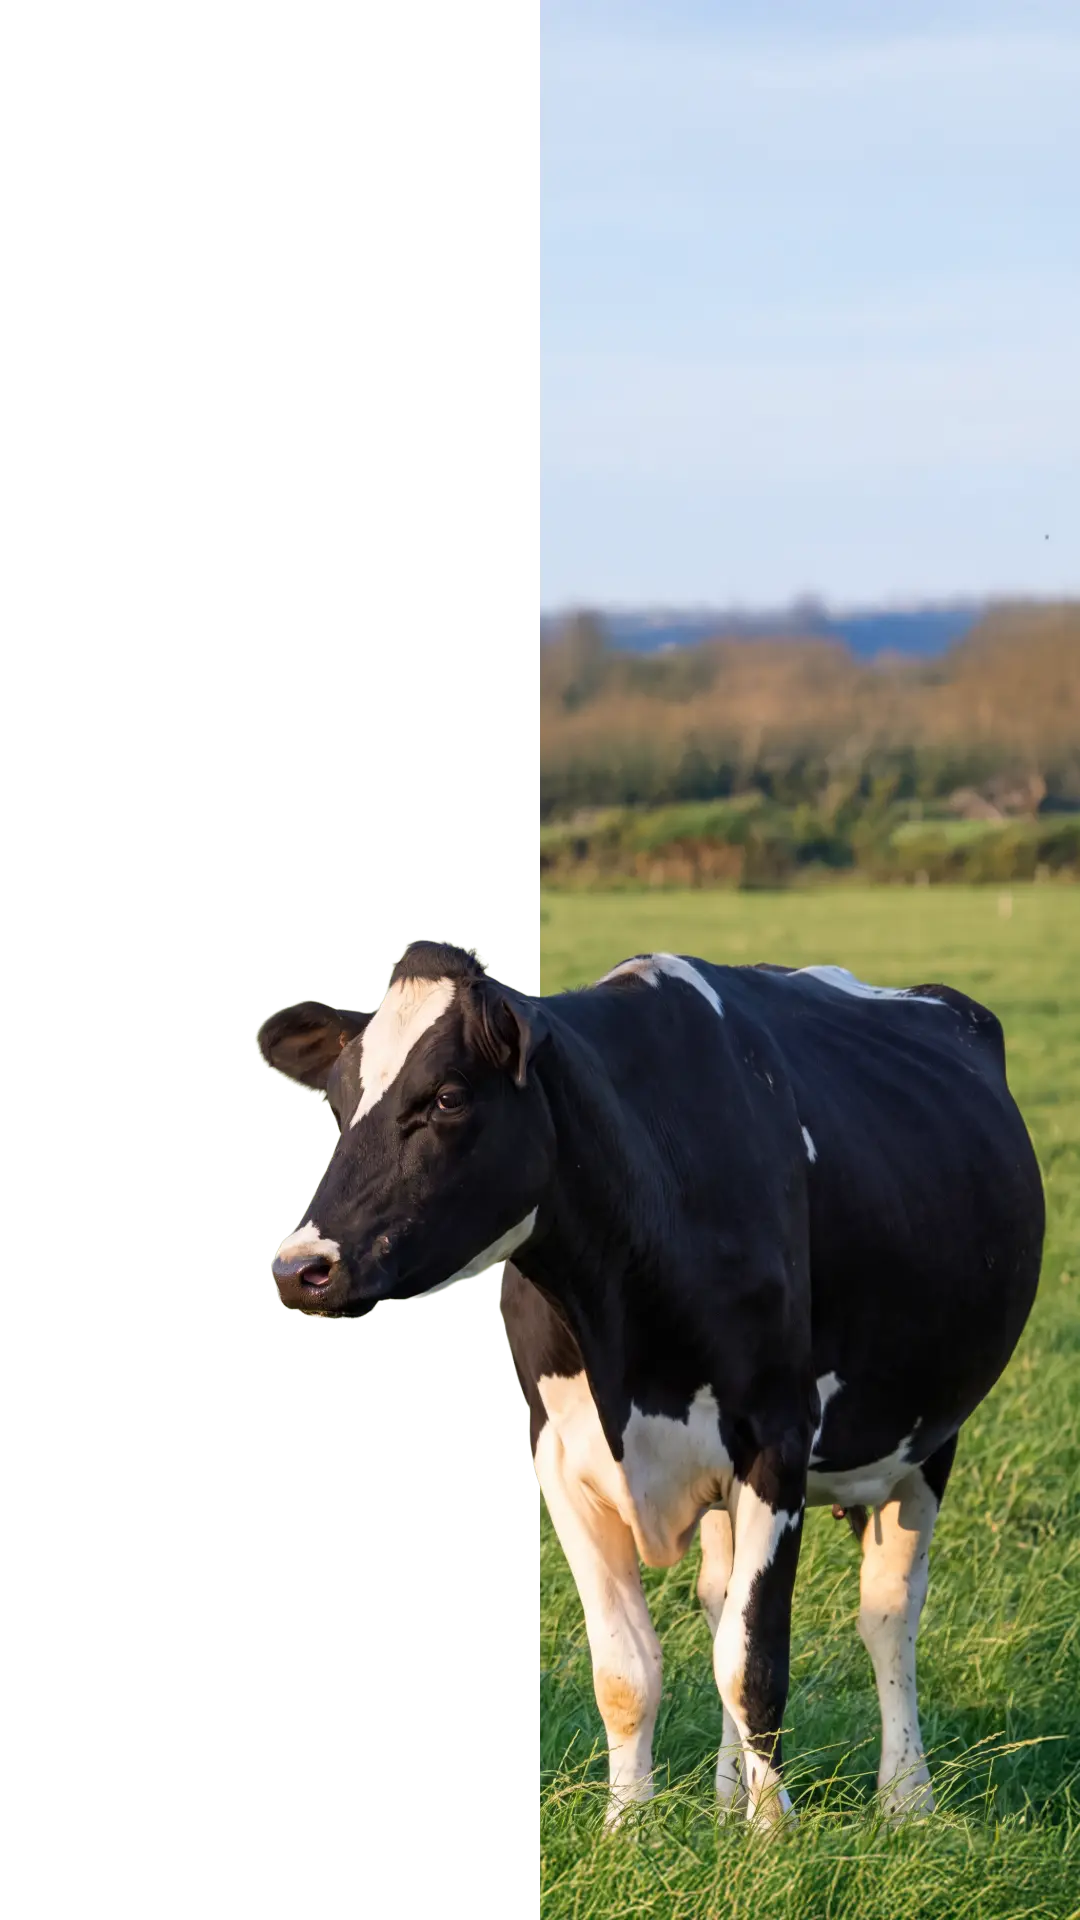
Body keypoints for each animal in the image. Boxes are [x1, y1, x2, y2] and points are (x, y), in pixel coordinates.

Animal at [257, 939, 1044, 1830]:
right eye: (341, 1100)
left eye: (447, 1097)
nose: (300, 1267)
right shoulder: (562, 1459)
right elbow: (628, 1671)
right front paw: (630, 1828)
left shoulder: (776, 1441)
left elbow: (753, 1663)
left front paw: (773, 1835)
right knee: (721, 1598)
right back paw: (727, 1794)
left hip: (929, 1437)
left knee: (887, 1613)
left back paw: (906, 1798)